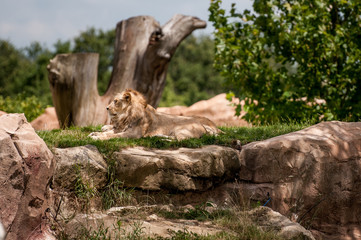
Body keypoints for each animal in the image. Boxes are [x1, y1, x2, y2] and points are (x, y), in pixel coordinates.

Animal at [88, 89, 221, 140]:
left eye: (115, 101)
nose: (106, 108)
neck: (126, 117)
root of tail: (203, 128)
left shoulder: (133, 134)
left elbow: (112, 136)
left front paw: (97, 137)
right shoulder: (121, 128)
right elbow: (109, 132)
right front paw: (95, 133)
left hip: (181, 129)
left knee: (180, 141)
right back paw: (159, 137)